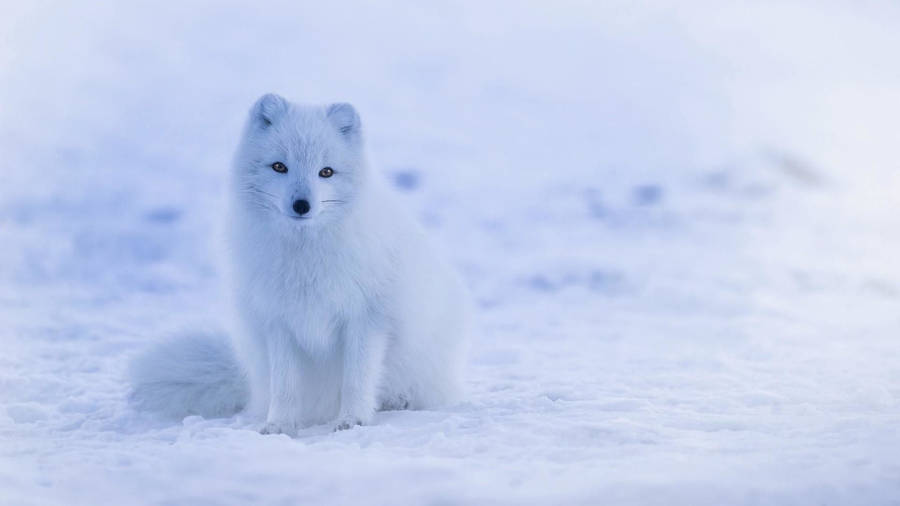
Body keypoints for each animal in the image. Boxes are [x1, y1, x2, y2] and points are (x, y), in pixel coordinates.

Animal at [129, 94, 469, 433]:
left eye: (326, 172)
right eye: (280, 166)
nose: (302, 205)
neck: (305, 257)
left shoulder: (366, 318)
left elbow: (357, 379)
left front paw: (352, 420)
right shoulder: (278, 321)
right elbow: (285, 386)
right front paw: (279, 425)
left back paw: (398, 401)